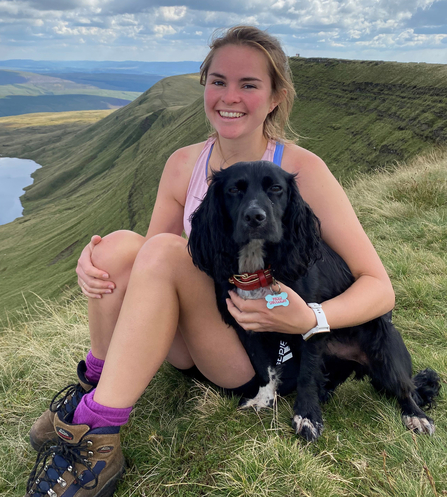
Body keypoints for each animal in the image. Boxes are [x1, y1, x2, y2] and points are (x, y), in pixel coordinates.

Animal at [187, 161, 440, 440]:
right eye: (233, 189)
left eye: (276, 188)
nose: (255, 217)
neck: (260, 269)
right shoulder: (246, 325)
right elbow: (263, 367)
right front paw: (264, 400)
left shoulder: (308, 324)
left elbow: (307, 374)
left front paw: (307, 416)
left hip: (384, 343)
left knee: (404, 389)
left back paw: (416, 416)